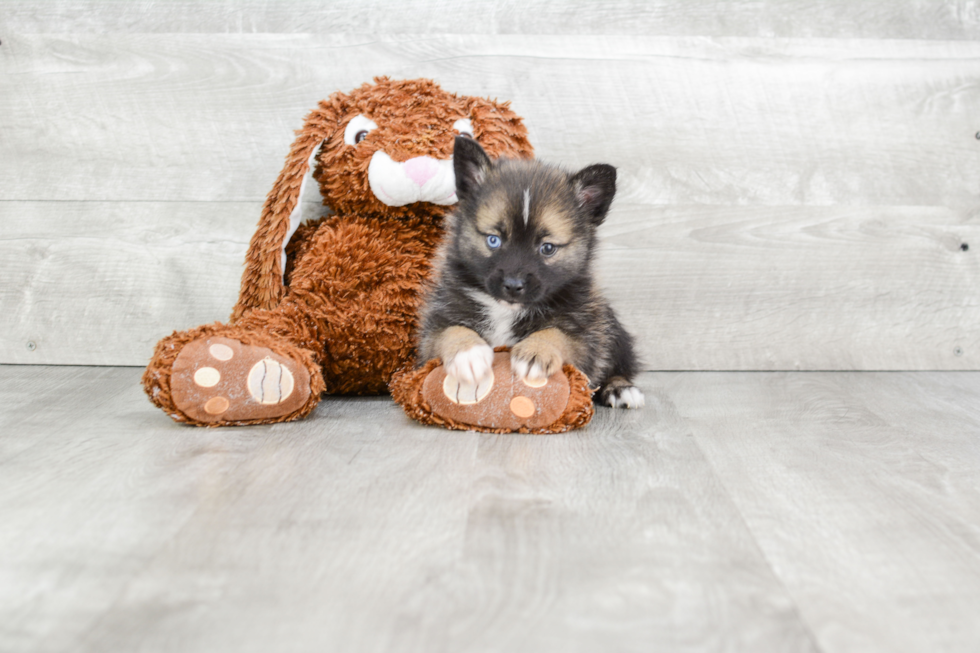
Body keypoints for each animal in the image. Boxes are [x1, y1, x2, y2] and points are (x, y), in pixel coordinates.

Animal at [420, 136, 644, 408]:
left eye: (547, 248)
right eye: (493, 240)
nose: (513, 285)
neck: (506, 310)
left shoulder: (585, 337)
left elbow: (558, 333)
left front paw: (537, 351)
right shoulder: (434, 327)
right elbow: (450, 331)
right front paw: (468, 353)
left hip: (612, 328)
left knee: (619, 364)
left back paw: (621, 388)